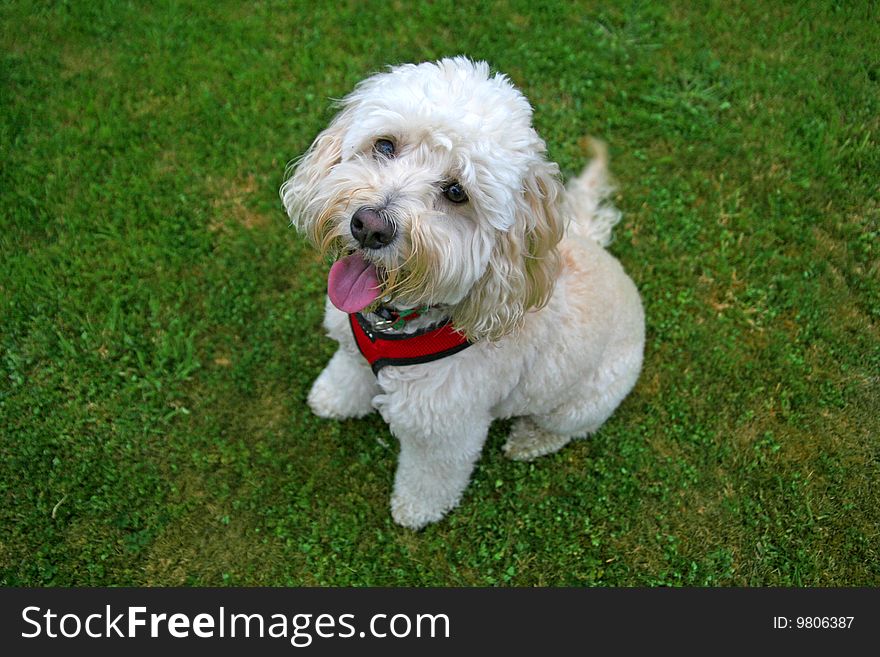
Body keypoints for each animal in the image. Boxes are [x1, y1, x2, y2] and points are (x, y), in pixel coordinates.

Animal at [282, 57, 648, 528]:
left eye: (456, 192)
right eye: (385, 145)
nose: (369, 226)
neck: (397, 322)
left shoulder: (446, 430)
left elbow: (431, 476)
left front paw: (415, 511)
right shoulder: (352, 346)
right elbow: (348, 371)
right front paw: (332, 398)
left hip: (583, 402)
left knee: (564, 428)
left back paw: (530, 440)